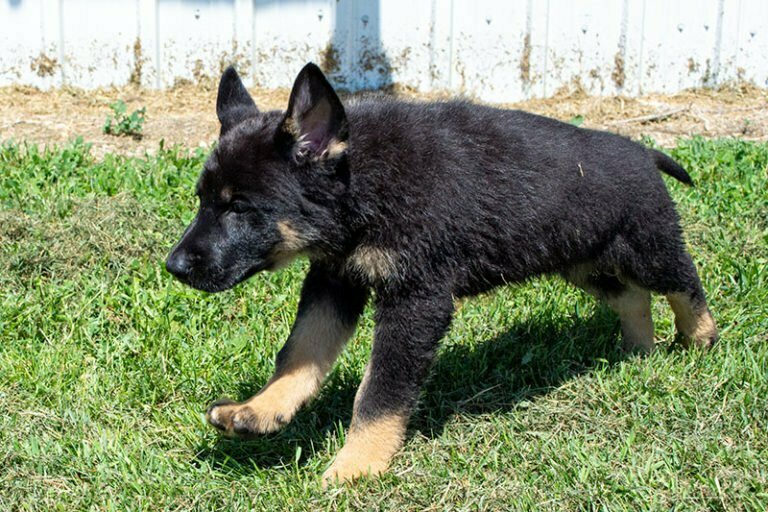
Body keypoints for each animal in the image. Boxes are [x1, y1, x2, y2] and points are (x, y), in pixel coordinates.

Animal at [165, 63, 716, 484]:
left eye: (239, 207)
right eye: (203, 200)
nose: (173, 267)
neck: (361, 182)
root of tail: (644, 153)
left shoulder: (416, 301)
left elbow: (380, 391)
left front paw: (355, 466)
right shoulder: (335, 280)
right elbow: (301, 351)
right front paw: (260, 411)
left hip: (645, 247)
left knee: (684, 284)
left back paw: (699, 340)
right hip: (582, 260)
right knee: (631, 297)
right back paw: (638, 350)